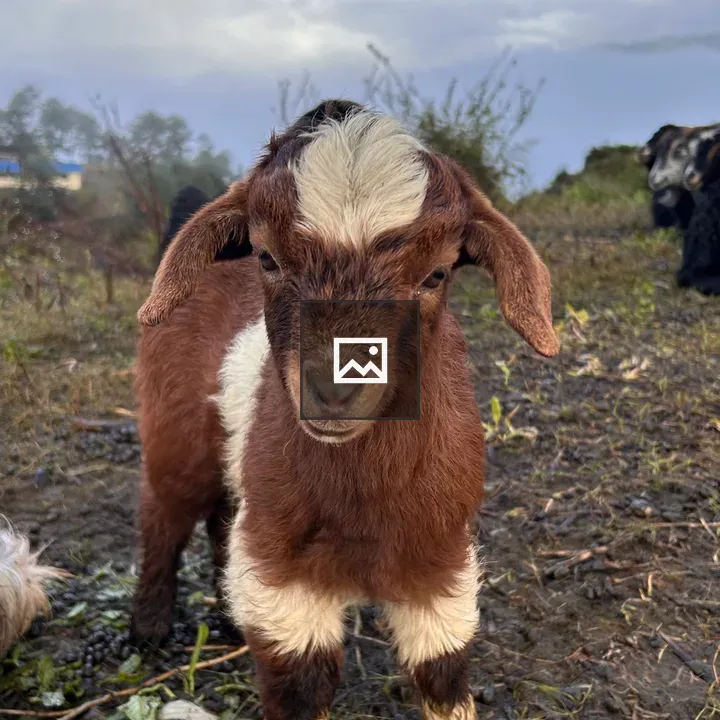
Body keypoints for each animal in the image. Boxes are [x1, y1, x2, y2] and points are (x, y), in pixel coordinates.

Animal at [132, 99, 560, 720]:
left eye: (436, 274)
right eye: (267, 258)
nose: (335, 388)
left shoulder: (442, 557)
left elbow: (443, 674)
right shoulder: (281, 575)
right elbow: (299, 685)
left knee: (219, 515)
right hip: (174, 431)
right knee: (163, 512)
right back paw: (148, 627)